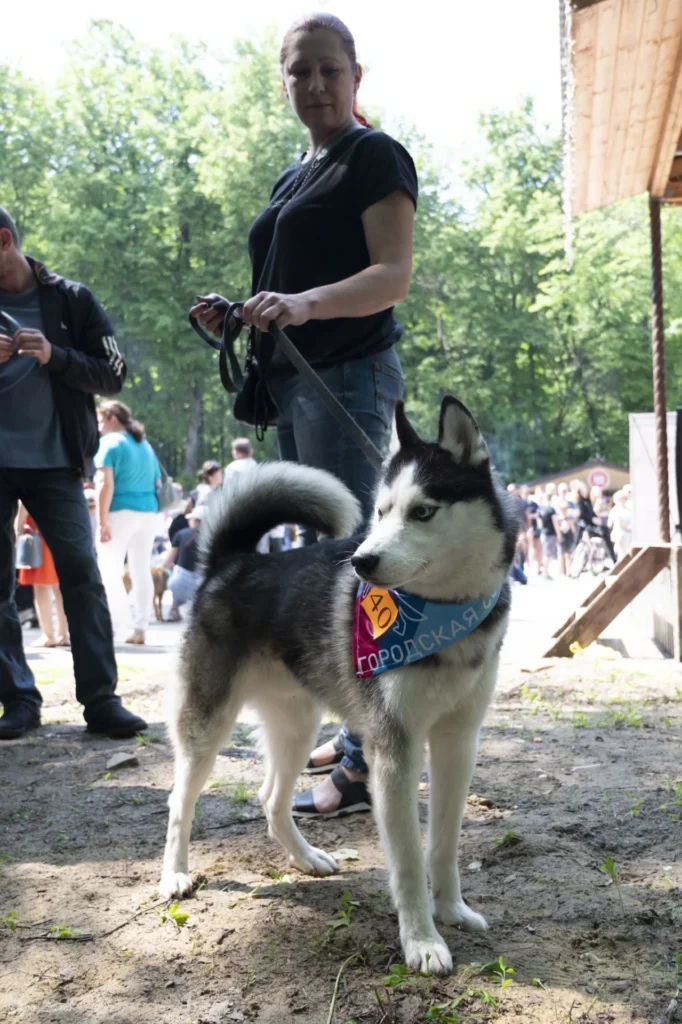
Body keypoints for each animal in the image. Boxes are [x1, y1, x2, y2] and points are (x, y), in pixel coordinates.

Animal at [159, 395, 516, 970]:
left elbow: (443, 845)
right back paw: (174, 875)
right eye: (381, 511)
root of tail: (232, 561)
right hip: (206, 727)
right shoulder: (394, 750)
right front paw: (422, 941)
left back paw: (306, 858)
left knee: (271, 798)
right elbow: (408, 860)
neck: (442, 613)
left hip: (297, 726)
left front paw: (452, 911)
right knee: (180, 801)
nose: (362, 561)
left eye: (422, 511)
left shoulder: (457, 743)